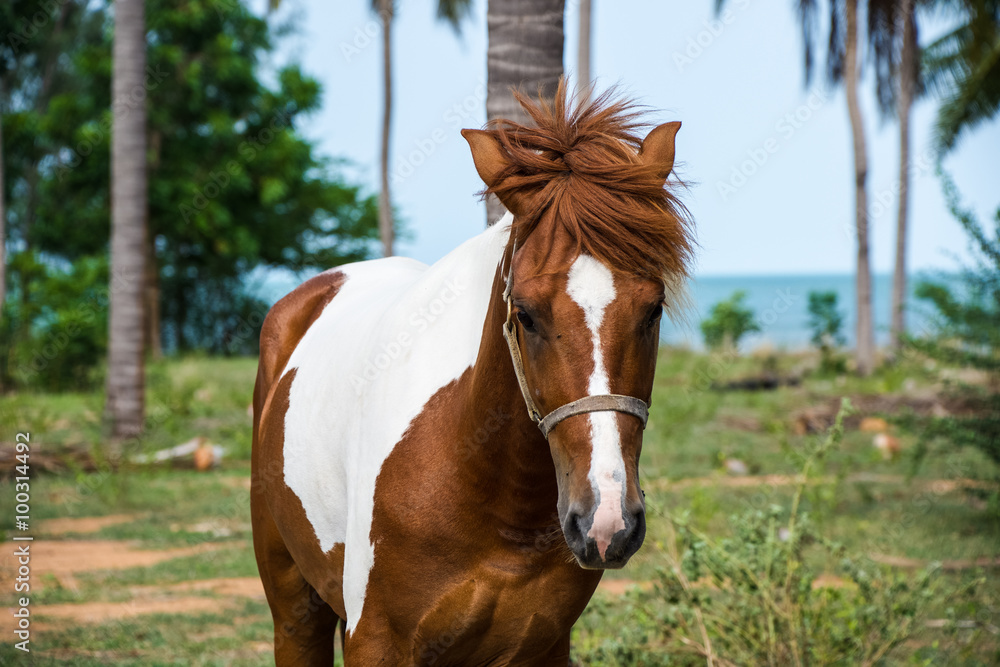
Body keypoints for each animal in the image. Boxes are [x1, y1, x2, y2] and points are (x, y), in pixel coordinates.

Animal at [251, 82, 694, 665]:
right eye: (525, 314)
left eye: (653, 310)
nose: (605, 523)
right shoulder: (374, 641)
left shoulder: (544, 646)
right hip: (293, 609)